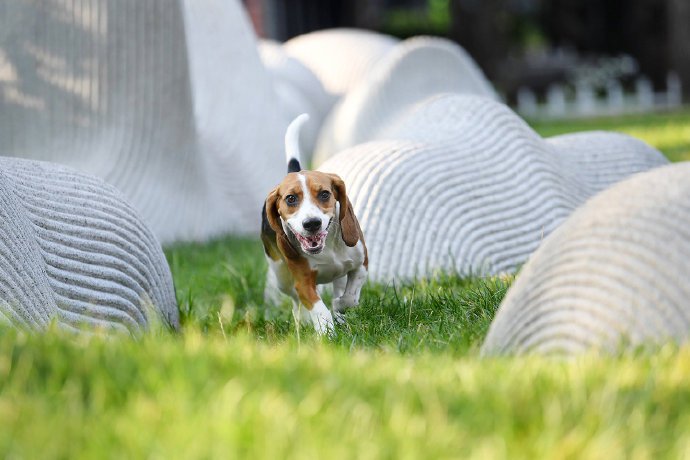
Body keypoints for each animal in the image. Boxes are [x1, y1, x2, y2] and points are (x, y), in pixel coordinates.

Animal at [260, 113, 366, 332]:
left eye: (324, 194)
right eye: (291, 199)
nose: (312, 223)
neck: (328, 249)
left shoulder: (361, 264)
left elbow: (350, 297)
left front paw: (339, 307)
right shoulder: (304, 283)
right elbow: (319, 310)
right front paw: (327, 333)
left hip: (340, 275)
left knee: (339, 288)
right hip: (281, 276)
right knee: (295, 302)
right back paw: (302, 322)